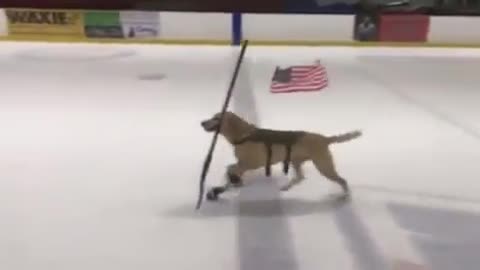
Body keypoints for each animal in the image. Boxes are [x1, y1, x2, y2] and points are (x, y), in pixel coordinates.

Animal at [201, 110, 362, 200]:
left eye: (216, 118)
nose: (202, 122)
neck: (244, 134)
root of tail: (324, 138)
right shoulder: (243, 164)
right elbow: (230, 170)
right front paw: (228, 184)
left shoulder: (249, 164)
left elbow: (231, 169)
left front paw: (229, 183)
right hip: (296, 161)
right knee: (300, 177)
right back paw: (286, 187)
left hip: (324, 166)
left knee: (342, 180)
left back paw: (345, 196)